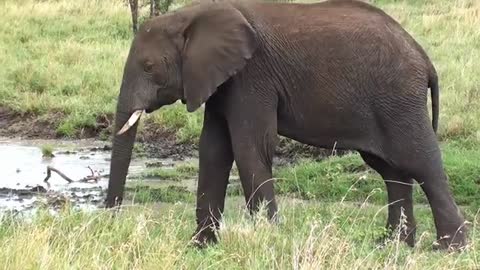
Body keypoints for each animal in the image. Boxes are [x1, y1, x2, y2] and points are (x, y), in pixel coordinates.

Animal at [103, 0, 466, 251]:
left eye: (149, 67)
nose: (110, 221)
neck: (192, 14)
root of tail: (424, 57)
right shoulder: (221, 79)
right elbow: (213, 150)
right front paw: (199, 246)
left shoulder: (252, 76)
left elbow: (250, 147)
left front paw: (267, 239)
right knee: (392, 170)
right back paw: (392, 245)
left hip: (399, 99)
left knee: (421, 163)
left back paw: (449, 248)